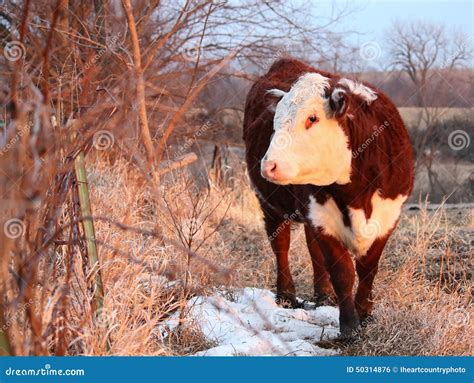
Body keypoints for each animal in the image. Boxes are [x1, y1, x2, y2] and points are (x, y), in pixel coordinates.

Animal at [243, 57, 412, 340]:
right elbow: (343, 271)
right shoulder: (322, 217)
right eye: (276, 121)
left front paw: (365, 314)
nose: (268, 165)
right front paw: (349, 327)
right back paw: (286, 295)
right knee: (281, 244)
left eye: (312, 118)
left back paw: (324, 296)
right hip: (271, 205)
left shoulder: (388, 216)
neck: (356, 193)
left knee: (312, 250)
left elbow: (368, 268)